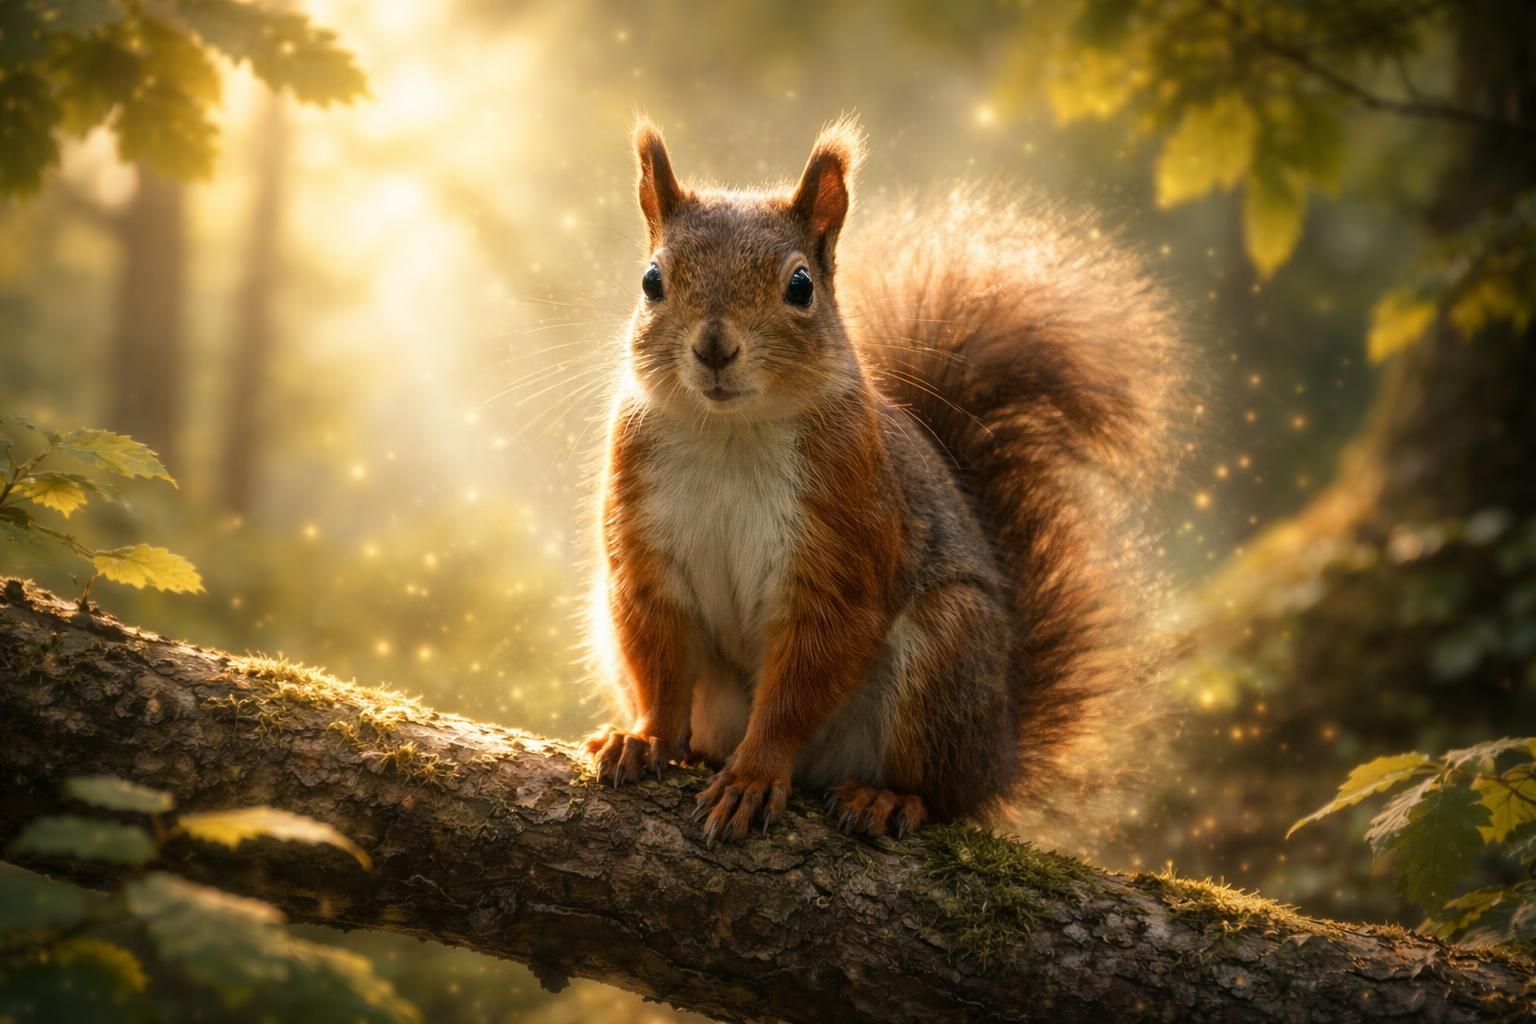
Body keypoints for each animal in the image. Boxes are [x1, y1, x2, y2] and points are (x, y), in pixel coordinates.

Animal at [586, 115, 1186, 845]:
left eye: (801, 286)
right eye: (651, 280)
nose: (714, 347)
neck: (730, 431)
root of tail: (1003, 754)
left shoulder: (845, 540)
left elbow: (799, 686)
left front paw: (753, 776)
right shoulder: (644, 547)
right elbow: (658, 660)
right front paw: (644, 738)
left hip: (946, 654)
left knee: (943, 792)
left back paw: (887, 798)